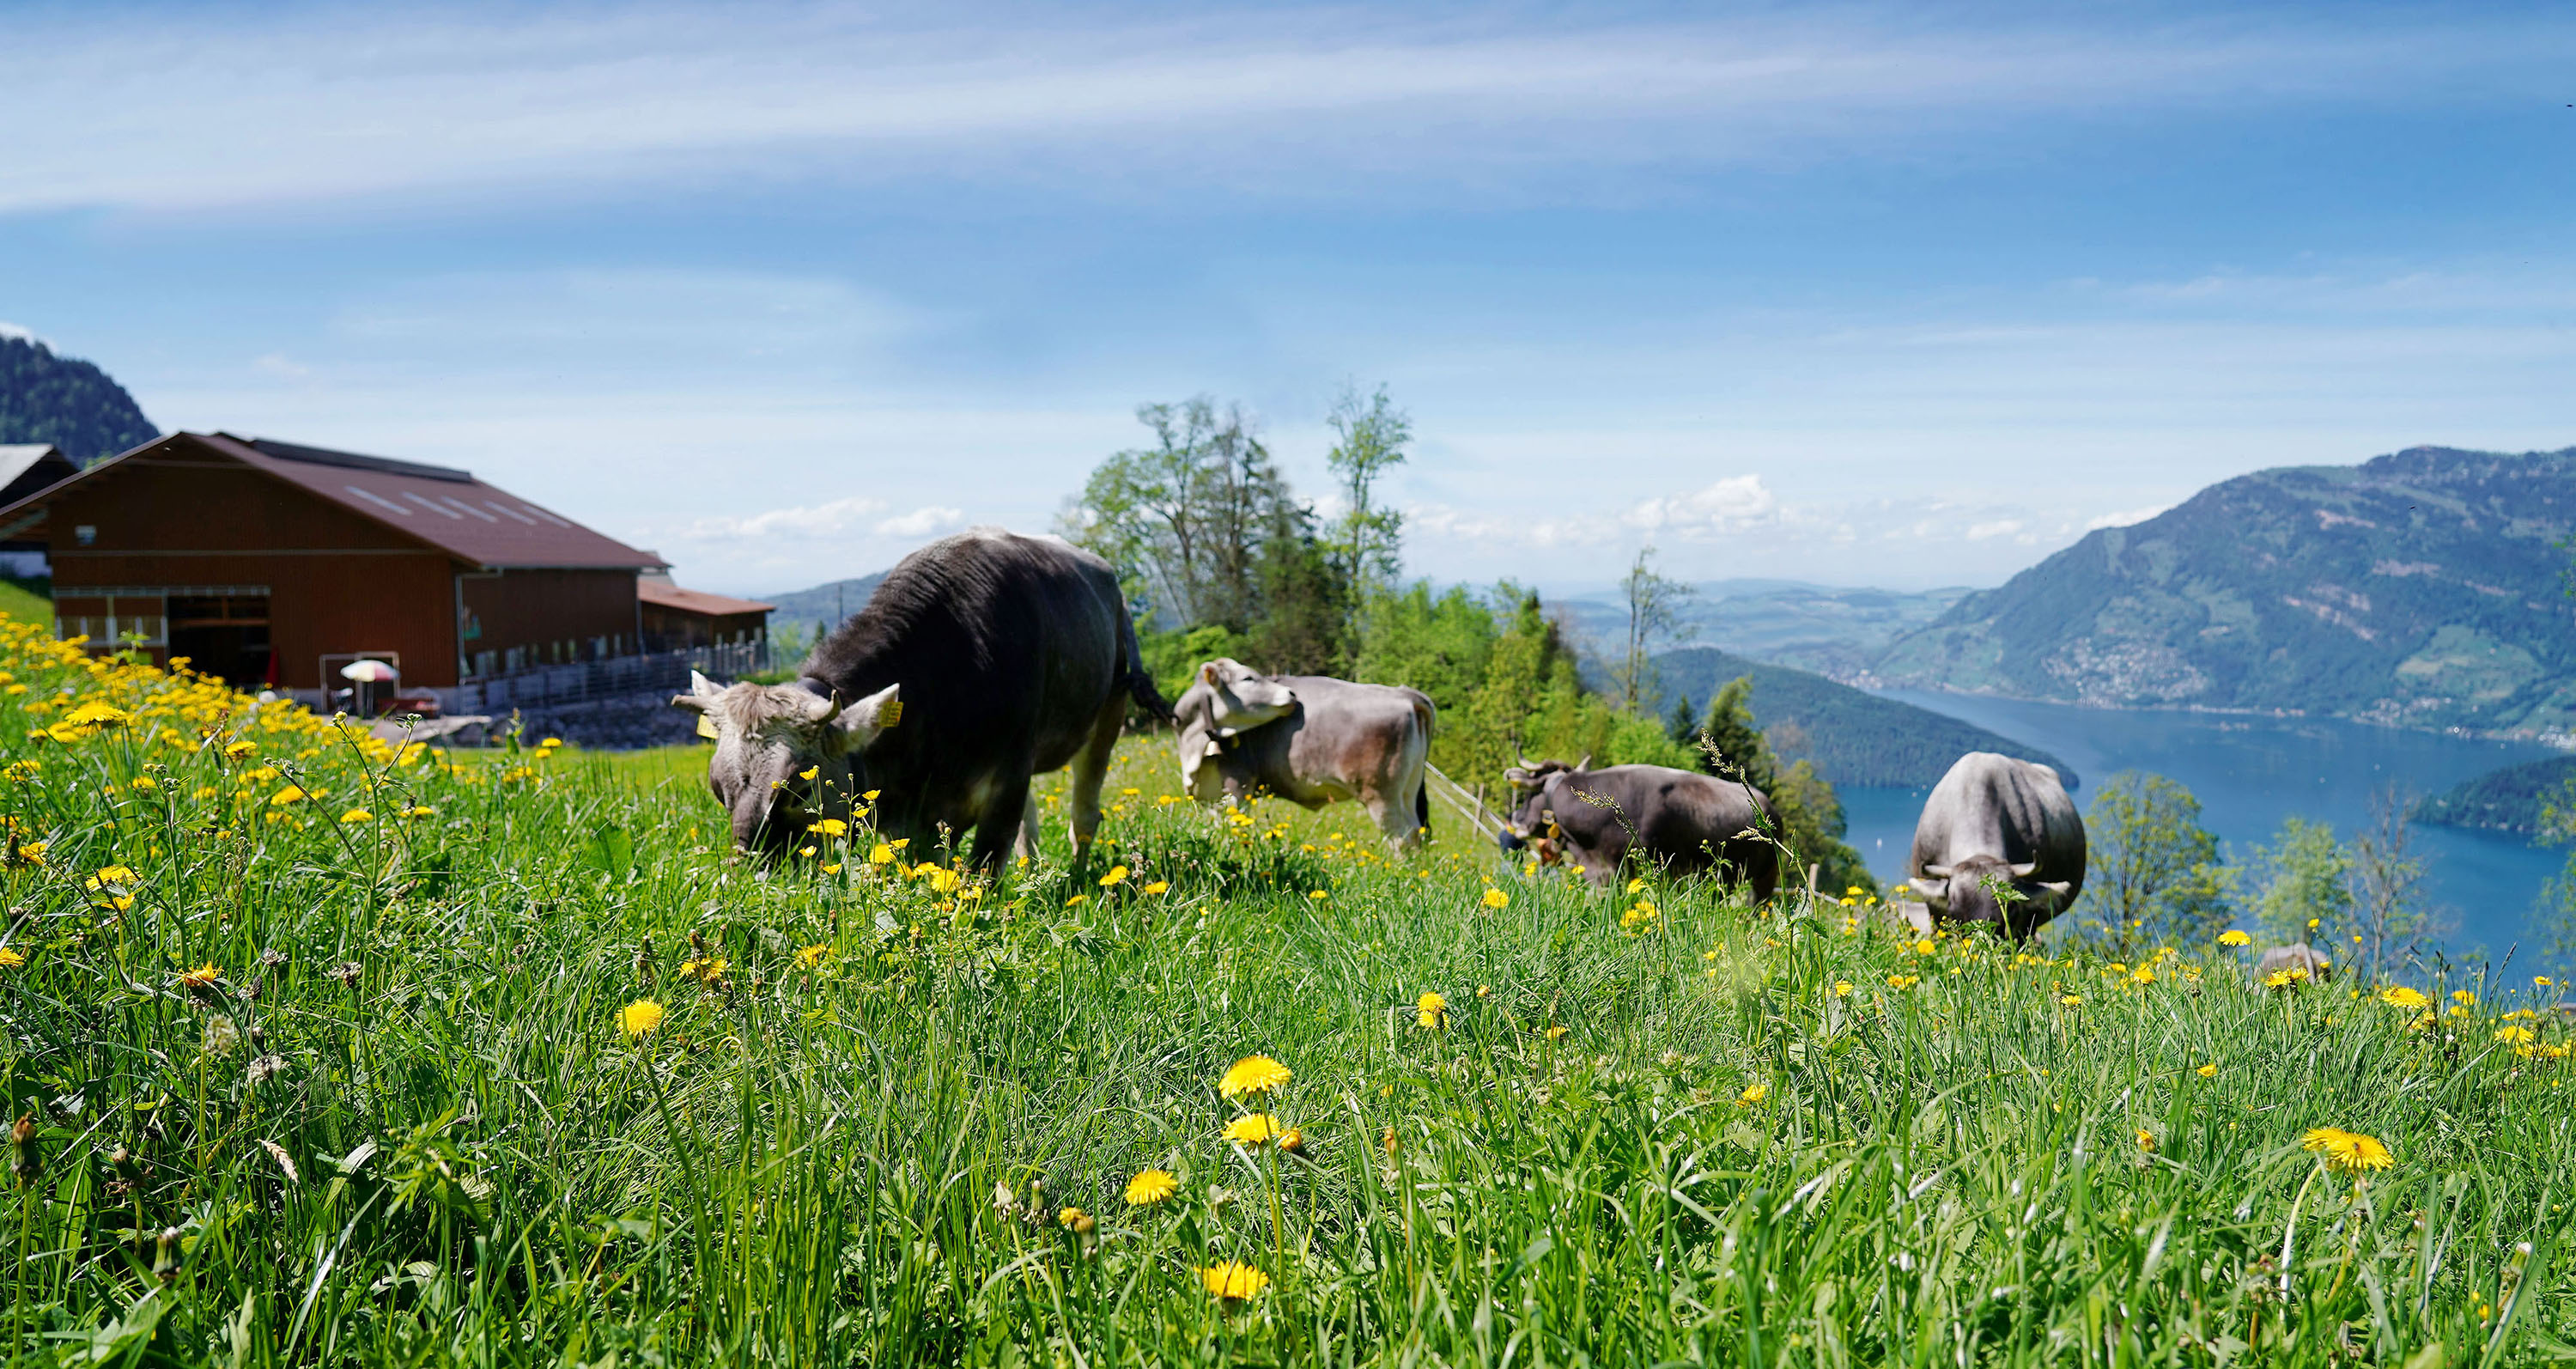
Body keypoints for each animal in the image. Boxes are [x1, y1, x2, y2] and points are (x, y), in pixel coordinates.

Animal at [1180, 657, 1443, 845]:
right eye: (1248, 678)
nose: (1291, 694)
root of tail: (1402, 693)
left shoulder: (1239, 785)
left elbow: (1235, 826)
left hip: (1381, 795)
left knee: (1402, 837)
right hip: (1408, 790)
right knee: (1417, 832)